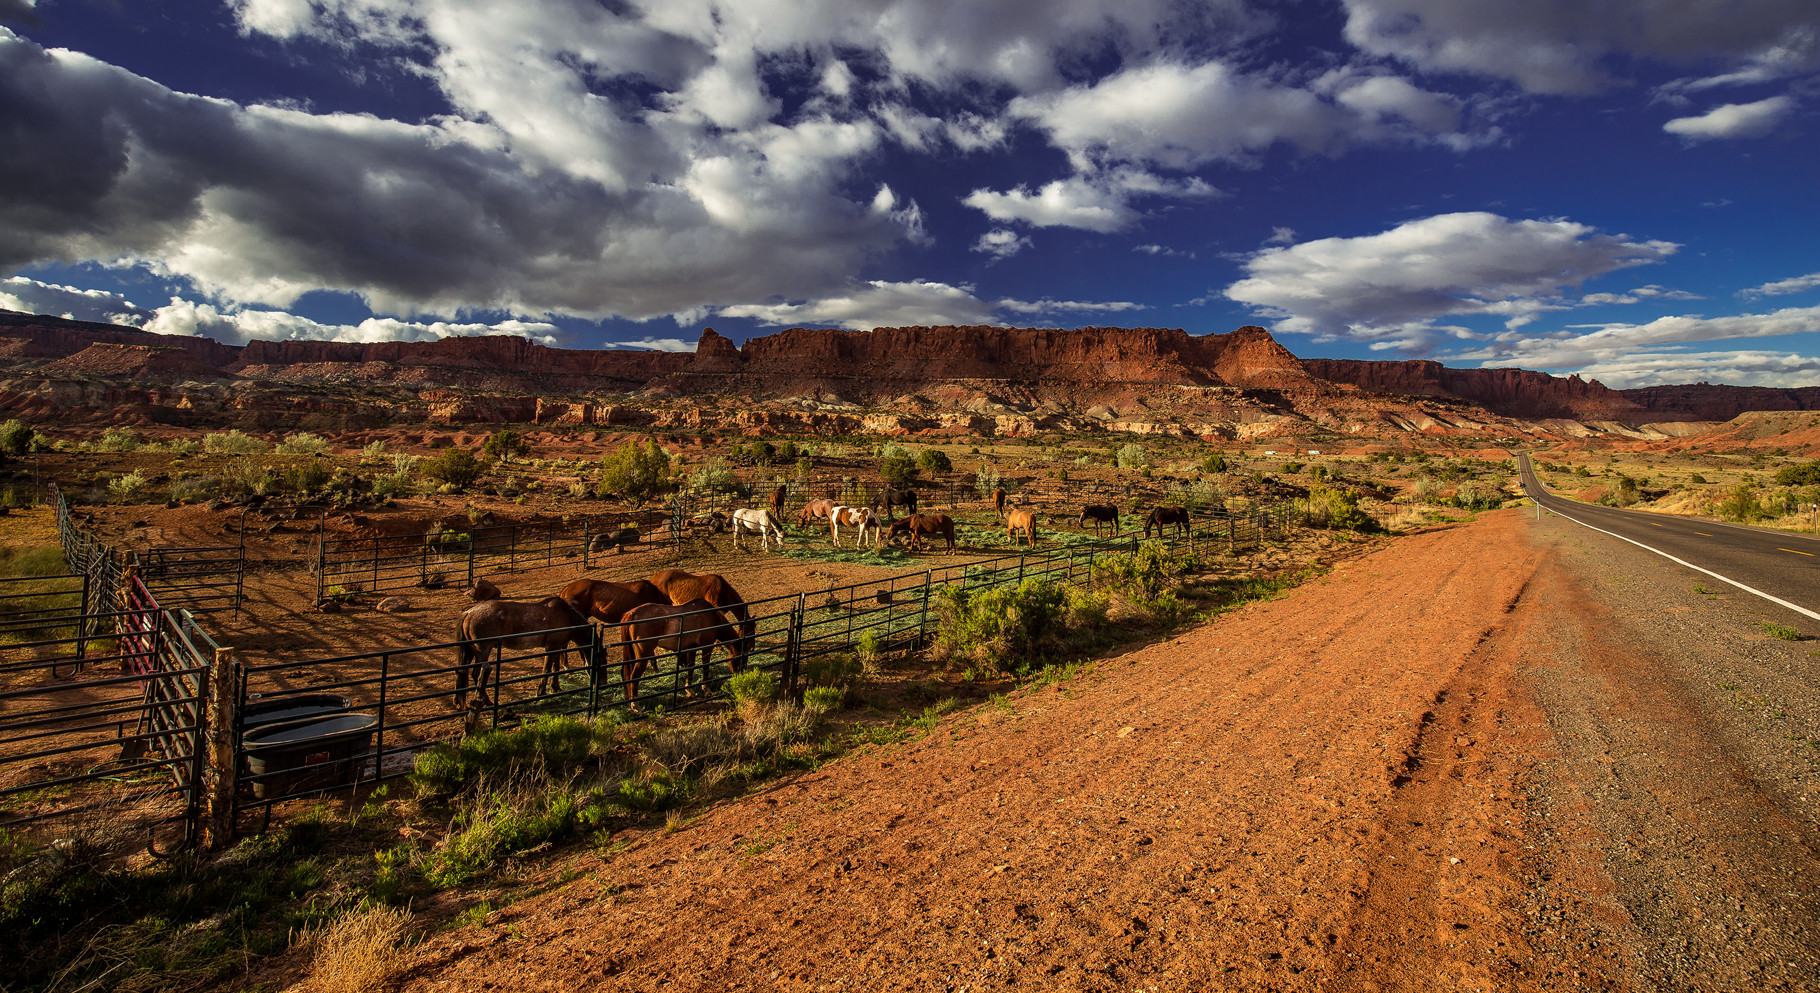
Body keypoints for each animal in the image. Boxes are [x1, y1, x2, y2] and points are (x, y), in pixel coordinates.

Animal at [455, 592, 604, 705]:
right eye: (600, 661)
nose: (602, 684)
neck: (568, 618)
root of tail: (469, 613)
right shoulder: (551, 648)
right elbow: (546, 669)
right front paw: (541, 693)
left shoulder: (557, 647)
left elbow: (555, 668)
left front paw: (556, 688)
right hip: (483, 652)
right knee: (476, 674)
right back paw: (487, 701)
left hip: (471, 651)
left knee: (464, 671)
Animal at [618, 596, 746, 694]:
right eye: (740, 660)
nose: (741, 676)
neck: (711, 615)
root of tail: (631, 614)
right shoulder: (707, 647)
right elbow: (705, 666)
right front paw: (706, 689)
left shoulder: (692, 648)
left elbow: (691, 667)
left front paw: (689, 690)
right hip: (643, 656)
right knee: (634, 677)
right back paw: (635, 706)